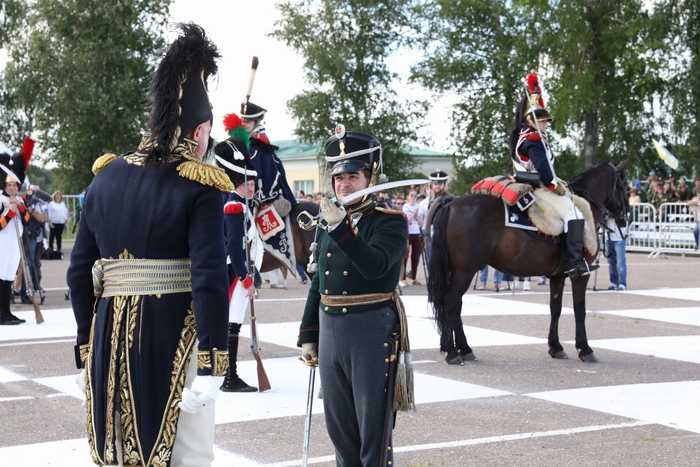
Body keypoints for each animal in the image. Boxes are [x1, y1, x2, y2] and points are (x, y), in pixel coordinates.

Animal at [426, 164, 628, 366]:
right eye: (624, 184)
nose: (625, 219)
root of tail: (451, 204)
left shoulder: (558, 276)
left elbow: (556, 308)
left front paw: (556, 347)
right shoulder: (581, 275)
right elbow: (579, 309)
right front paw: (585, 349)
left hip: (459, 271)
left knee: (455, 305)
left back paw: (464, 349)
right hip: (465, 271)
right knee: (451, 301)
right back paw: (452, 352)